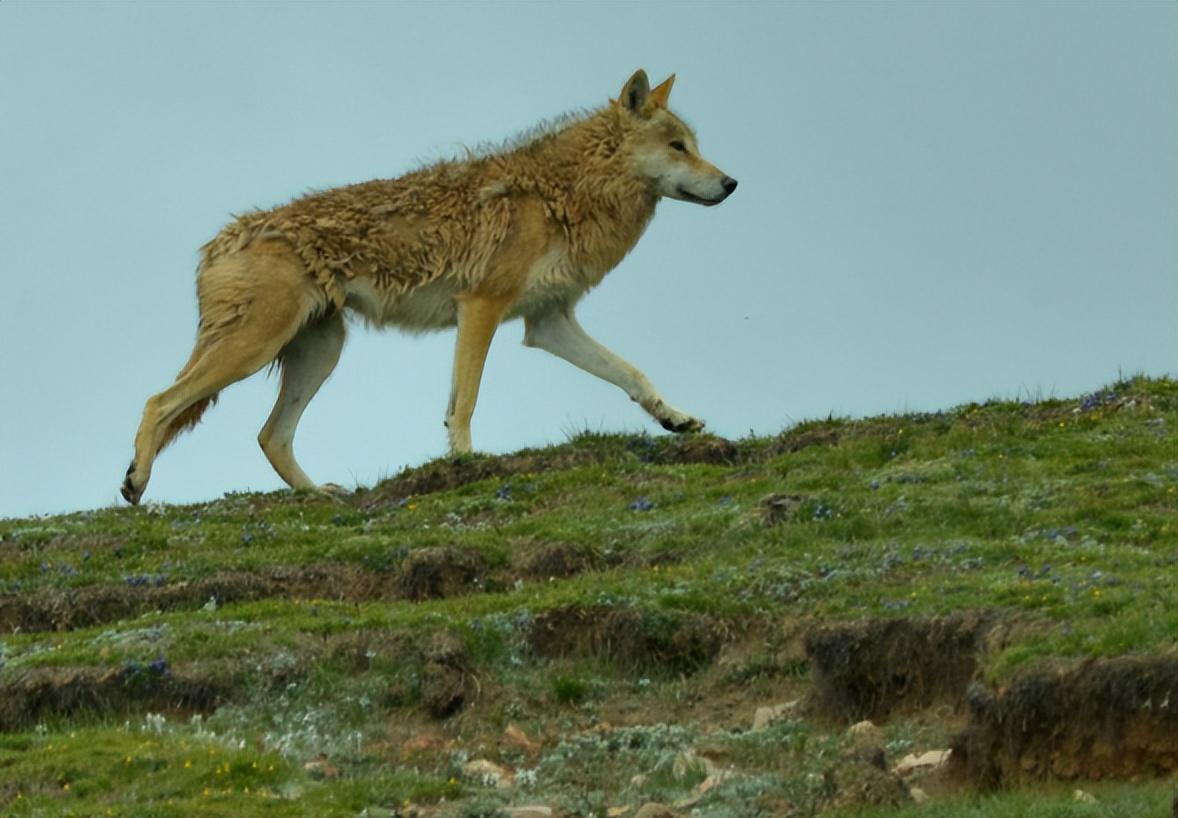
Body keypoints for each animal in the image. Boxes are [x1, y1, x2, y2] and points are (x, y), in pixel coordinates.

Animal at [117, 70, 725, 506]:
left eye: (694, 145)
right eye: (677, 146)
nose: (731, 182)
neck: (565, 192)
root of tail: (217, 242)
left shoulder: (548, 323)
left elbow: (633, 374)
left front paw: (676, 419)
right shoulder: (480, 307)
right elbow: (465, 402)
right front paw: (465, 462)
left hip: (320, 351)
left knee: (271, 435)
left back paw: (320, 495)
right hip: (256, 348)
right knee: (157, 402)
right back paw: (135, 484)